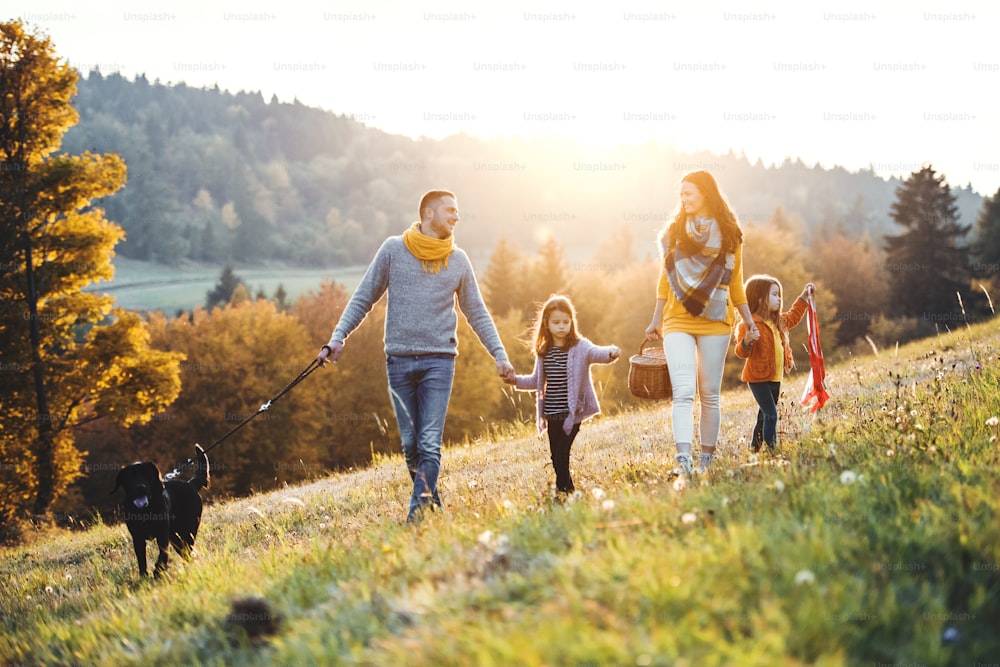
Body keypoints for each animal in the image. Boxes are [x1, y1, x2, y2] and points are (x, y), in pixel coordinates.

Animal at [111, 444, 209, 580]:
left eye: (147, 475)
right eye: (130, 477)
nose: (140, 487)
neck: (146, 511)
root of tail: (191, 484)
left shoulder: (162, 534)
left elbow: (163, 554)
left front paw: (158, 571)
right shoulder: (137, 537)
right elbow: (141, 559)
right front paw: (144, 577)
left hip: (188, 529)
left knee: (187, 547)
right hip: (173, 534)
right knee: (182, 549)